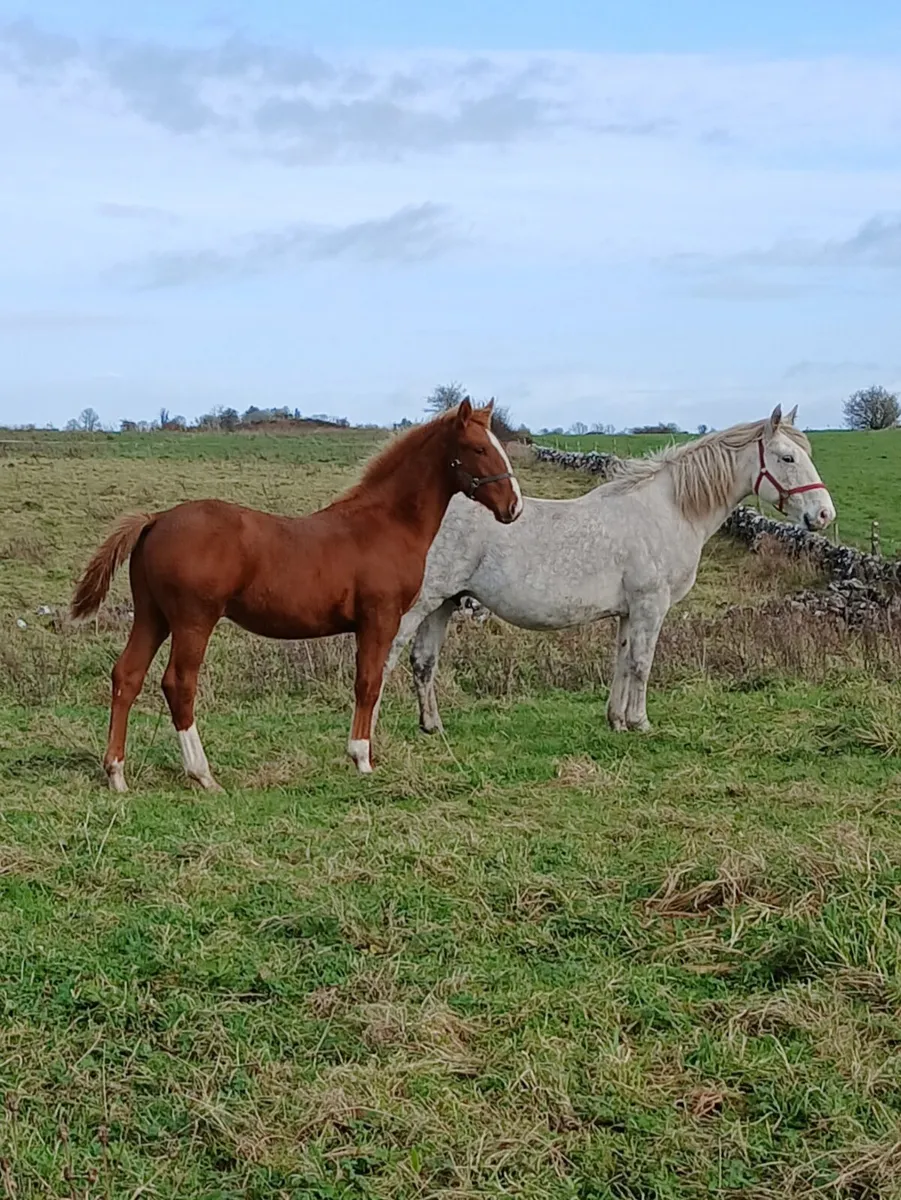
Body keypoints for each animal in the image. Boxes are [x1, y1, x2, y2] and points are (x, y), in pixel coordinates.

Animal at [70, 399, 523, 792]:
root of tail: (157, 518)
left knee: (126, 676)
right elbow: (368, 683)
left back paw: (117, 774)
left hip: (153, 616)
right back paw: (203, 774)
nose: (513, 508)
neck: (386, 524)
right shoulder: (380, 619)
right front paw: (362, 758)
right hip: (192, 621)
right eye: (479, 448)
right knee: (178, 683)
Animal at [381, 405, 836, 737]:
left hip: (443, 604)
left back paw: (432, 726)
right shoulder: (651, 606)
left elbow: (621, 660)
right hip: (418, 605)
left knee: (423, 662)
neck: (669, 510)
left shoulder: (628, 612)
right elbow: (642, 663)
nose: (824, 515)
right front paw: (640, 722)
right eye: (787, 457)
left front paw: (616, 720)